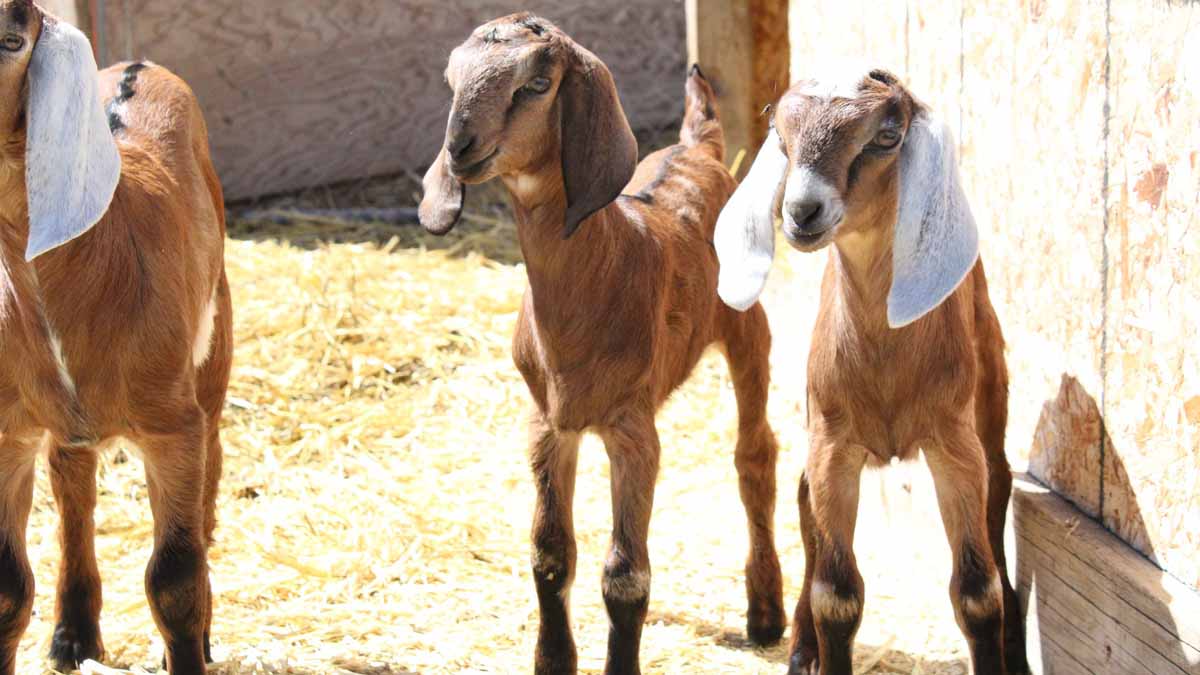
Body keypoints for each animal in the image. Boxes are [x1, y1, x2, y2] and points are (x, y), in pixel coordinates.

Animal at [0, 2, 231, 667]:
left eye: (12, 39)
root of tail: (138, 64)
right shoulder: (8, 427)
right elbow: (6, 587)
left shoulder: (171, 424)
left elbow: (174, 577)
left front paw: (190, 646)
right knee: (72, 480)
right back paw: (73, 635)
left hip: (213, 351)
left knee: (211, 473)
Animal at [422, 13, 787, 667]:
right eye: (451, 79)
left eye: (535, 84)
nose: (459, 148)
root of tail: (698, 147)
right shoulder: (548, 423)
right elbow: (549, 554)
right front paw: (552, 660)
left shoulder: (632, 430)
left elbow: (625, 575)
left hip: (749, 330)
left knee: (754, 456)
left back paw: (767, 616)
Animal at [710, 69, 1032, 672]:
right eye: (779, 131)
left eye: (886, 136)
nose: (801, 212)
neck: (885, 363)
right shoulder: (834, 446)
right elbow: (836, 595)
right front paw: (814, 645)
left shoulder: (953, 445)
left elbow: (978, 593)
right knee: (804, 504)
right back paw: (801, 649)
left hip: (988, 406)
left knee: (999, 489)